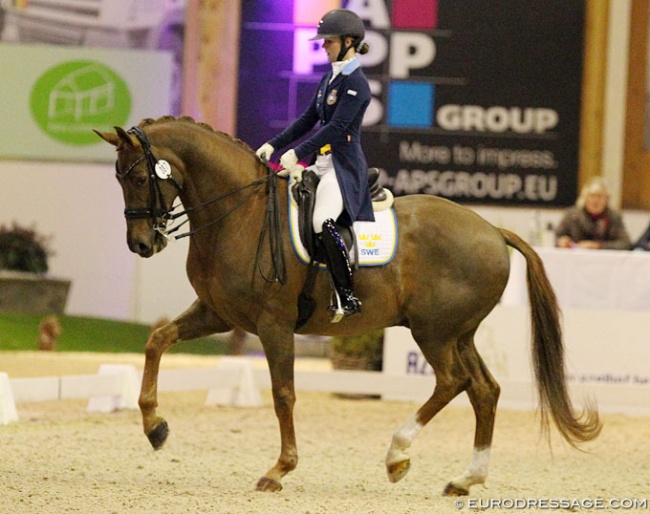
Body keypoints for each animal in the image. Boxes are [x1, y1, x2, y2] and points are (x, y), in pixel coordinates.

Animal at [95, 117, 596, 496]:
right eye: (117, 179)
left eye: (138, 178)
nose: (142, 244)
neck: (240, 213)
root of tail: (493, 230)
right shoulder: (218, 313)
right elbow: (157, 339)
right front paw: (155, 427)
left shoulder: (273, 323)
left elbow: (283, 393)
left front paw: (279, 470)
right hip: (460, 333)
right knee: (484, 390)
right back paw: (465, 478)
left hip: (433, 333)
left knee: (454, 382)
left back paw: (398, 455)